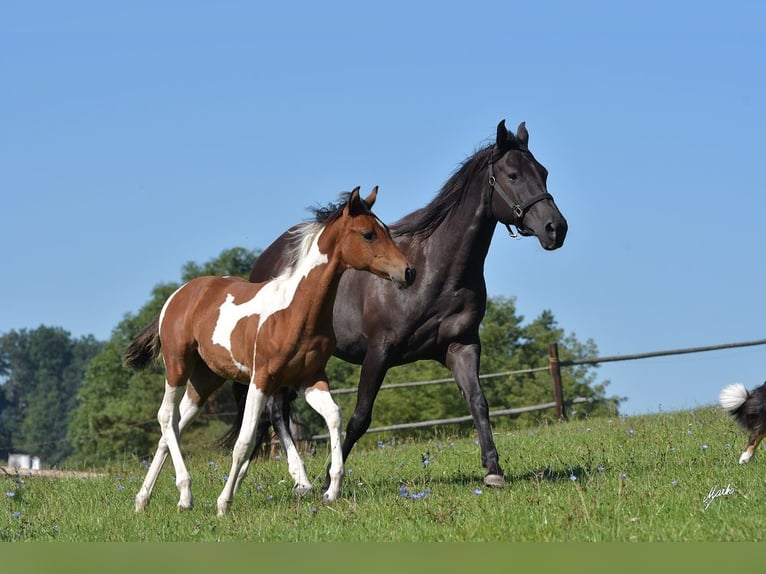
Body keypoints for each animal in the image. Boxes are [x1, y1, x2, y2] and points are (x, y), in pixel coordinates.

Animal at [222, 120, 568, 490]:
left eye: (544, 173)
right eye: (513, 175)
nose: (555, 228)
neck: (435, 270)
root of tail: (265, 260)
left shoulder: (461, 346)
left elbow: (478, 402)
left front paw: (493, 470)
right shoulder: (379, 351)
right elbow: (360, 417)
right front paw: (330, 474)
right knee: (276, 413)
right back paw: (300, 479)